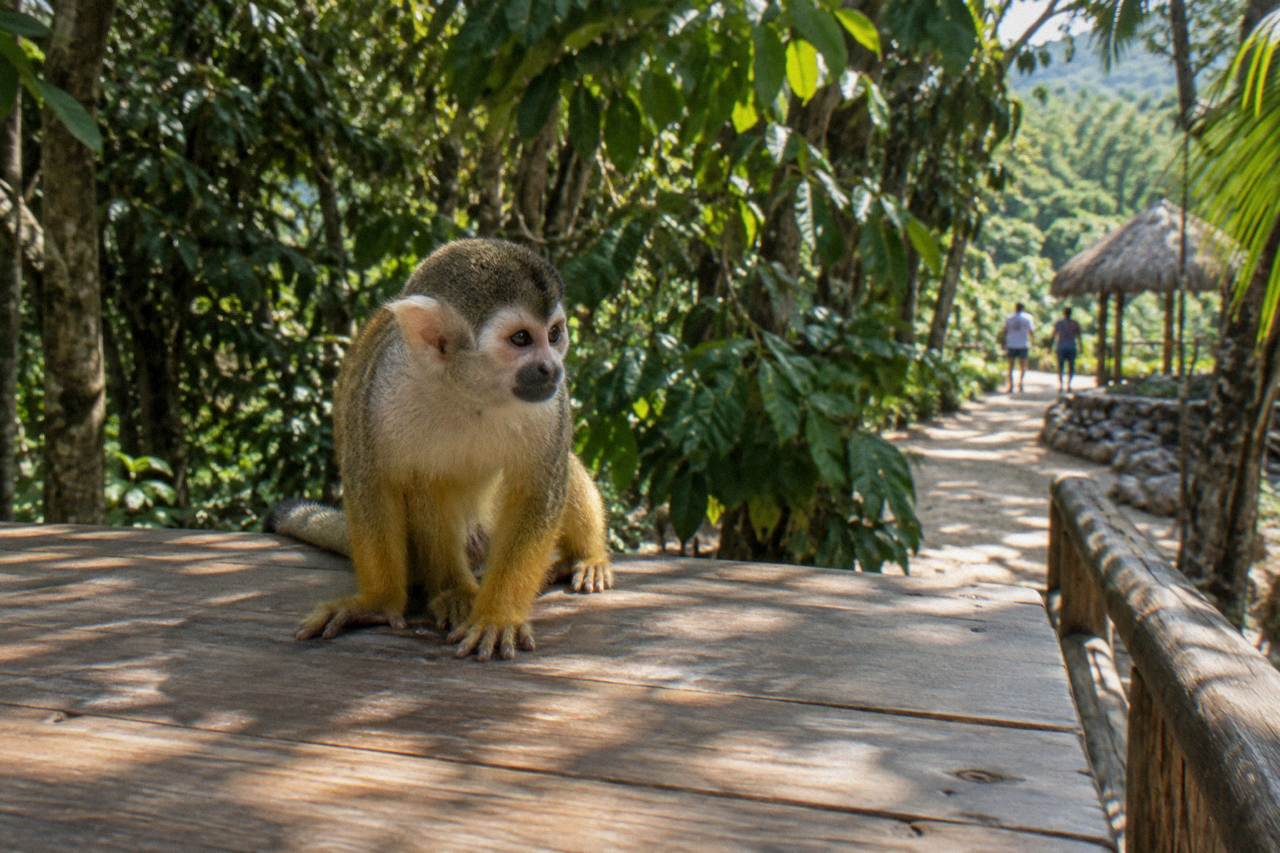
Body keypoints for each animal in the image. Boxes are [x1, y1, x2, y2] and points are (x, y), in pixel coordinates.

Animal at [267, 239, 613, 661]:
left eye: (555, 333)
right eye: (521, 339)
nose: (551, 368)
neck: (469, 392)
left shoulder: (551, 406)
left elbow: (537, 490)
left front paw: (497, 616)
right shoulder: (380, 393)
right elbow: (373, 480)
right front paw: (378, 601)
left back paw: (586, 556)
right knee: (425, 481)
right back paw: (455, 591)